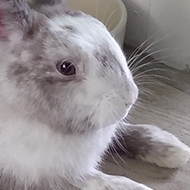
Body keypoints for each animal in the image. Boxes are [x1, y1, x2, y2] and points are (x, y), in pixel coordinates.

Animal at [0, 0, 189, 190]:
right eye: (66, 67)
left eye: (102, 28)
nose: (131, 97)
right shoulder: (51, 179)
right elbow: (104, 182)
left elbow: (125, 131)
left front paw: (175, 149)